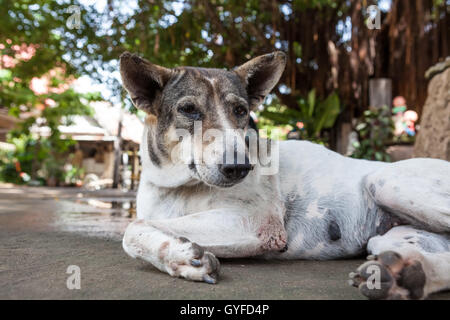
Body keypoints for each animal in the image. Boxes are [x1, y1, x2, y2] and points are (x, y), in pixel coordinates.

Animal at [118, 51, 448, 298]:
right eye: (188, 109)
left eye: (240, 111)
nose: (240, 167)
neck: (179, 186)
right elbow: (140, 227)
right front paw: (179, 257)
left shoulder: (254, 221)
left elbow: (132, 229)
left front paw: (180, 253)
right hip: (391, 238)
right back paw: (405, 276)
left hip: (385, 183)